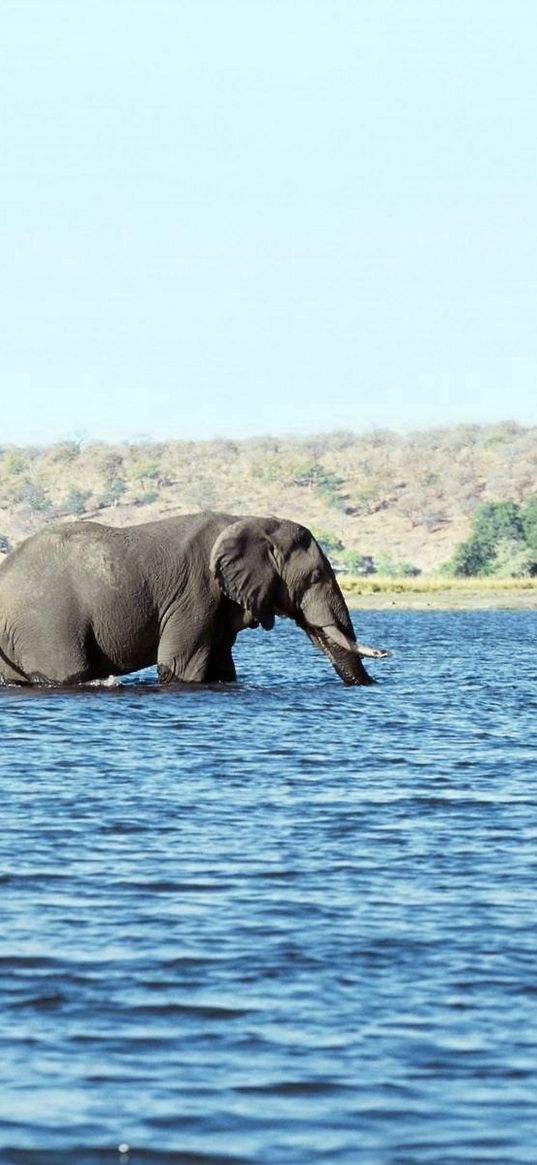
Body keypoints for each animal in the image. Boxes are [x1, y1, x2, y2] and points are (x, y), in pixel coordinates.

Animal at [0, 514, 389, 685]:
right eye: (316, 577)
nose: (386, 655)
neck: (253, 521)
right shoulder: (196, 594)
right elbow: (181, 667)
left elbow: (221, 667)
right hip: (46, 625)